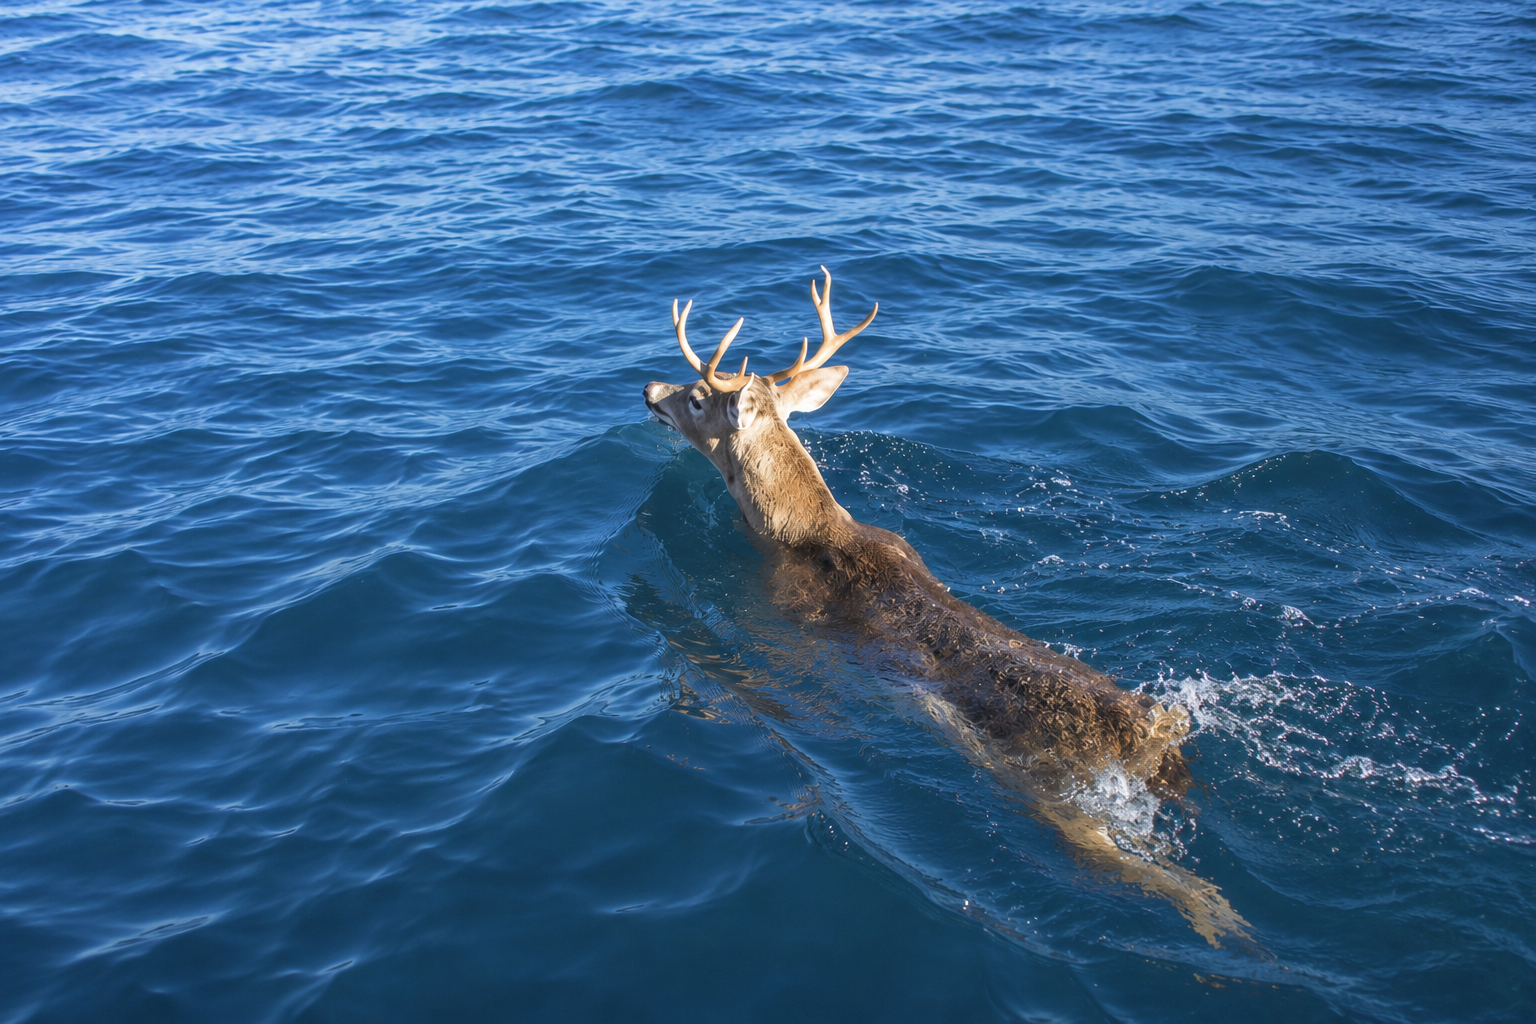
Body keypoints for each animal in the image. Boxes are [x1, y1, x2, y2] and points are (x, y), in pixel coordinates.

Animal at [642, 267, 1251, 948]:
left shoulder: (778, 614)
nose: (649, 388)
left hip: (1055, 796)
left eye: (698, 397)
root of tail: (1159, 734)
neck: (800, 529)